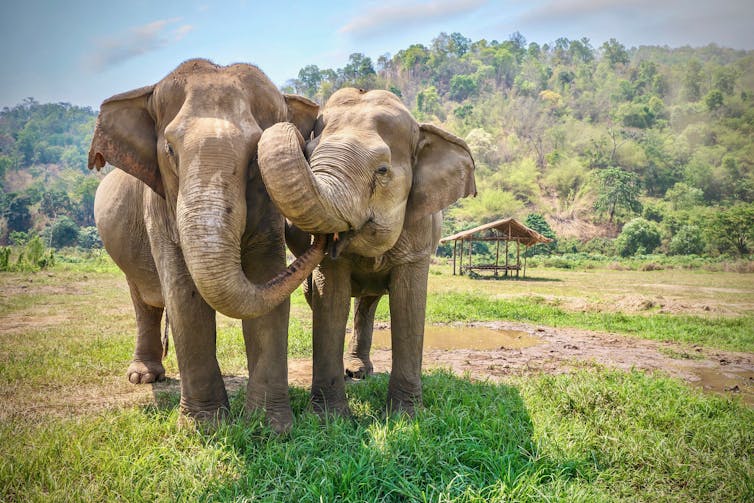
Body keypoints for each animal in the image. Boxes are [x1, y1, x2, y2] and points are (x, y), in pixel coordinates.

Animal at [88, 57, 324, 432]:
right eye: (170, 150)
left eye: (255, 157)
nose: (326, 238)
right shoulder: (159, 205)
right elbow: (184, 297)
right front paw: (205, 428)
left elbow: (266, 283)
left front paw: (270, 428)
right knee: (143, 301)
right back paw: (143, 377)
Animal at [256, 87, 472, 418]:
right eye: (308, 154)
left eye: (382, 170)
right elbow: (331, 300)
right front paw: (329, 419)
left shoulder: (420, 234)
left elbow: (409, 304)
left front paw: (406, 416)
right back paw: (354, 372)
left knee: (368, 304)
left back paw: (360, 371)